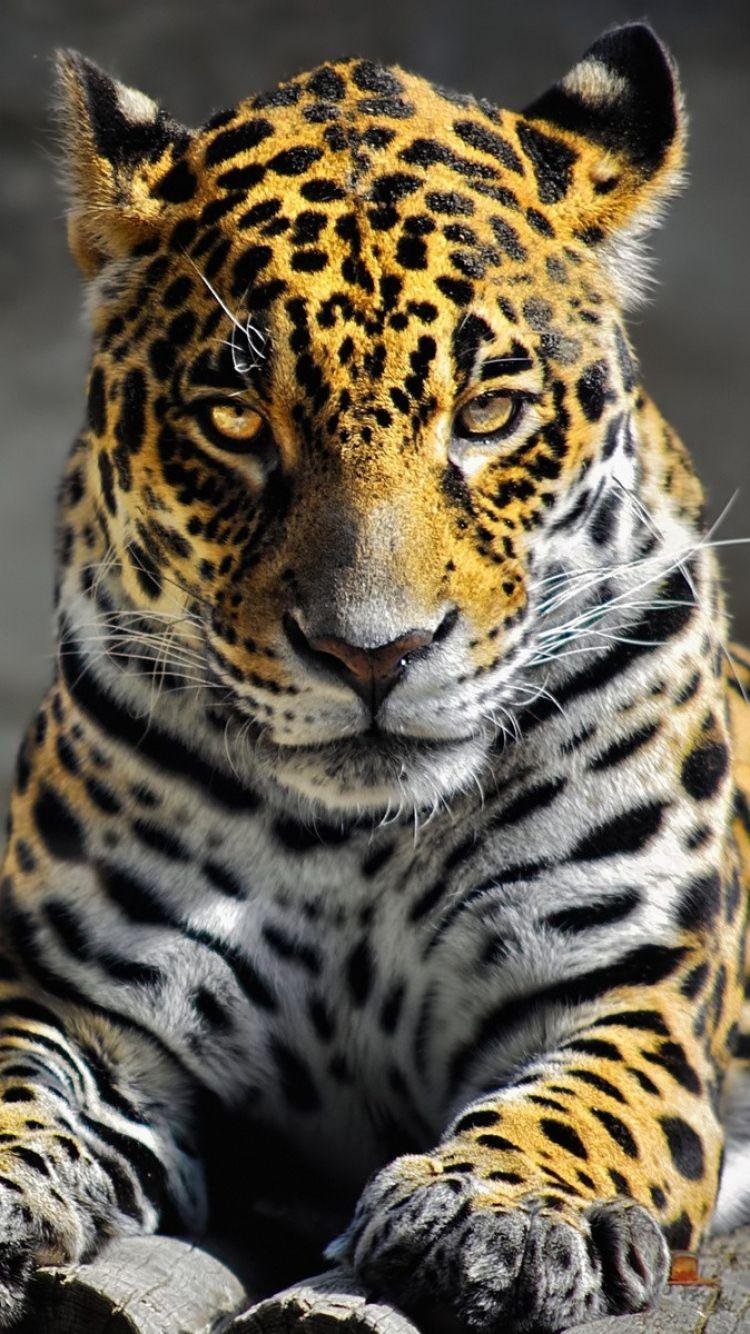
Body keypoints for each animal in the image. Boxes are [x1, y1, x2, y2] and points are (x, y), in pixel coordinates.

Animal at [0, 20, 749, 1332]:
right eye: (236, 421)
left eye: (491, 412)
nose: (372, 653)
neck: (359, 842)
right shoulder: (82, 1002)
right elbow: (13, 1076)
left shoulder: (632, 990)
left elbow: (579, 1102)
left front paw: (491, 1211)